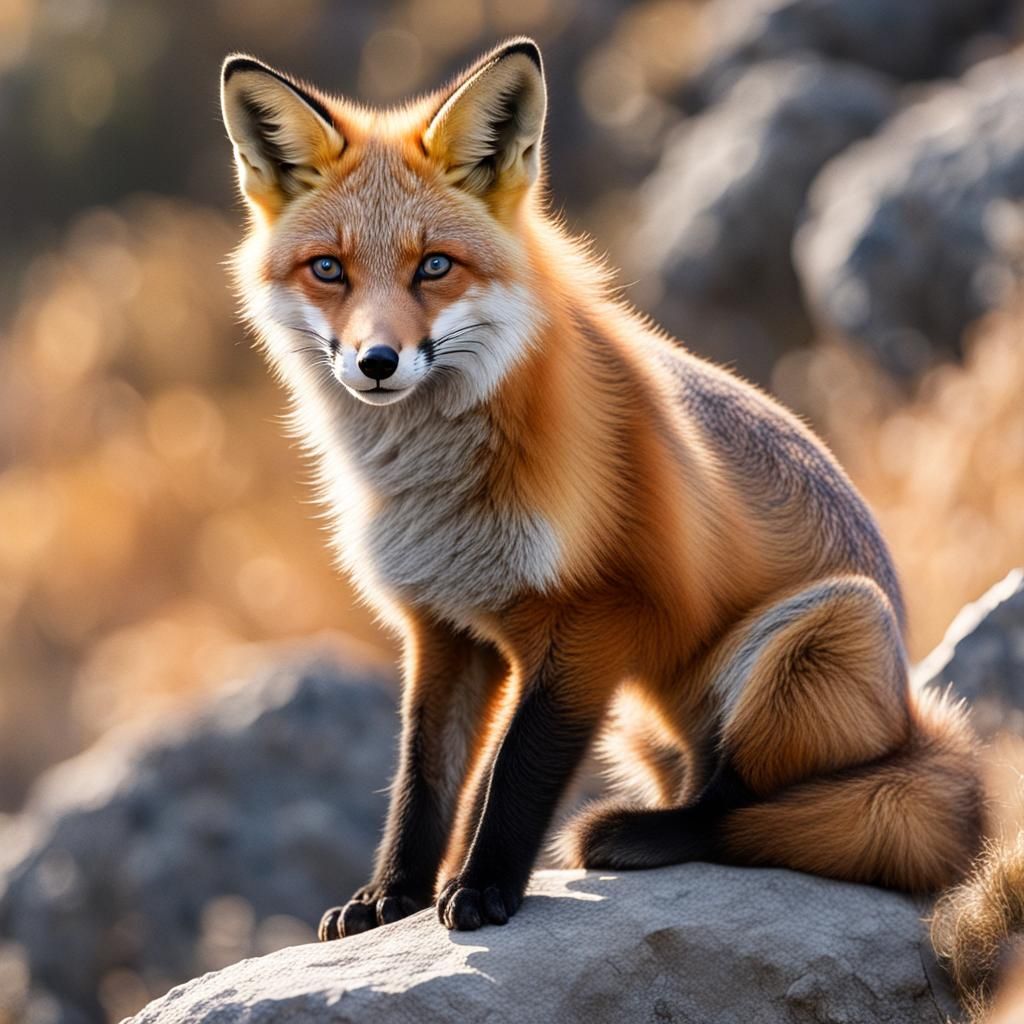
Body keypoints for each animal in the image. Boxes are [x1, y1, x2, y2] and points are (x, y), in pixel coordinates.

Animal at [219, 38, 984, 938]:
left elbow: (517, 775)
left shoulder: (599, 615)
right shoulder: (443, 628)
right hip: (647, 722)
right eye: (328, 270)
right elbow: (424, 782)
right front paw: (390, 896)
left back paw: (641, 835)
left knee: (743, 805)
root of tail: (912, 721)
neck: (437, 494)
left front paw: (483, 888)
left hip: (820, 629)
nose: (376, 362)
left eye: (434, 266)